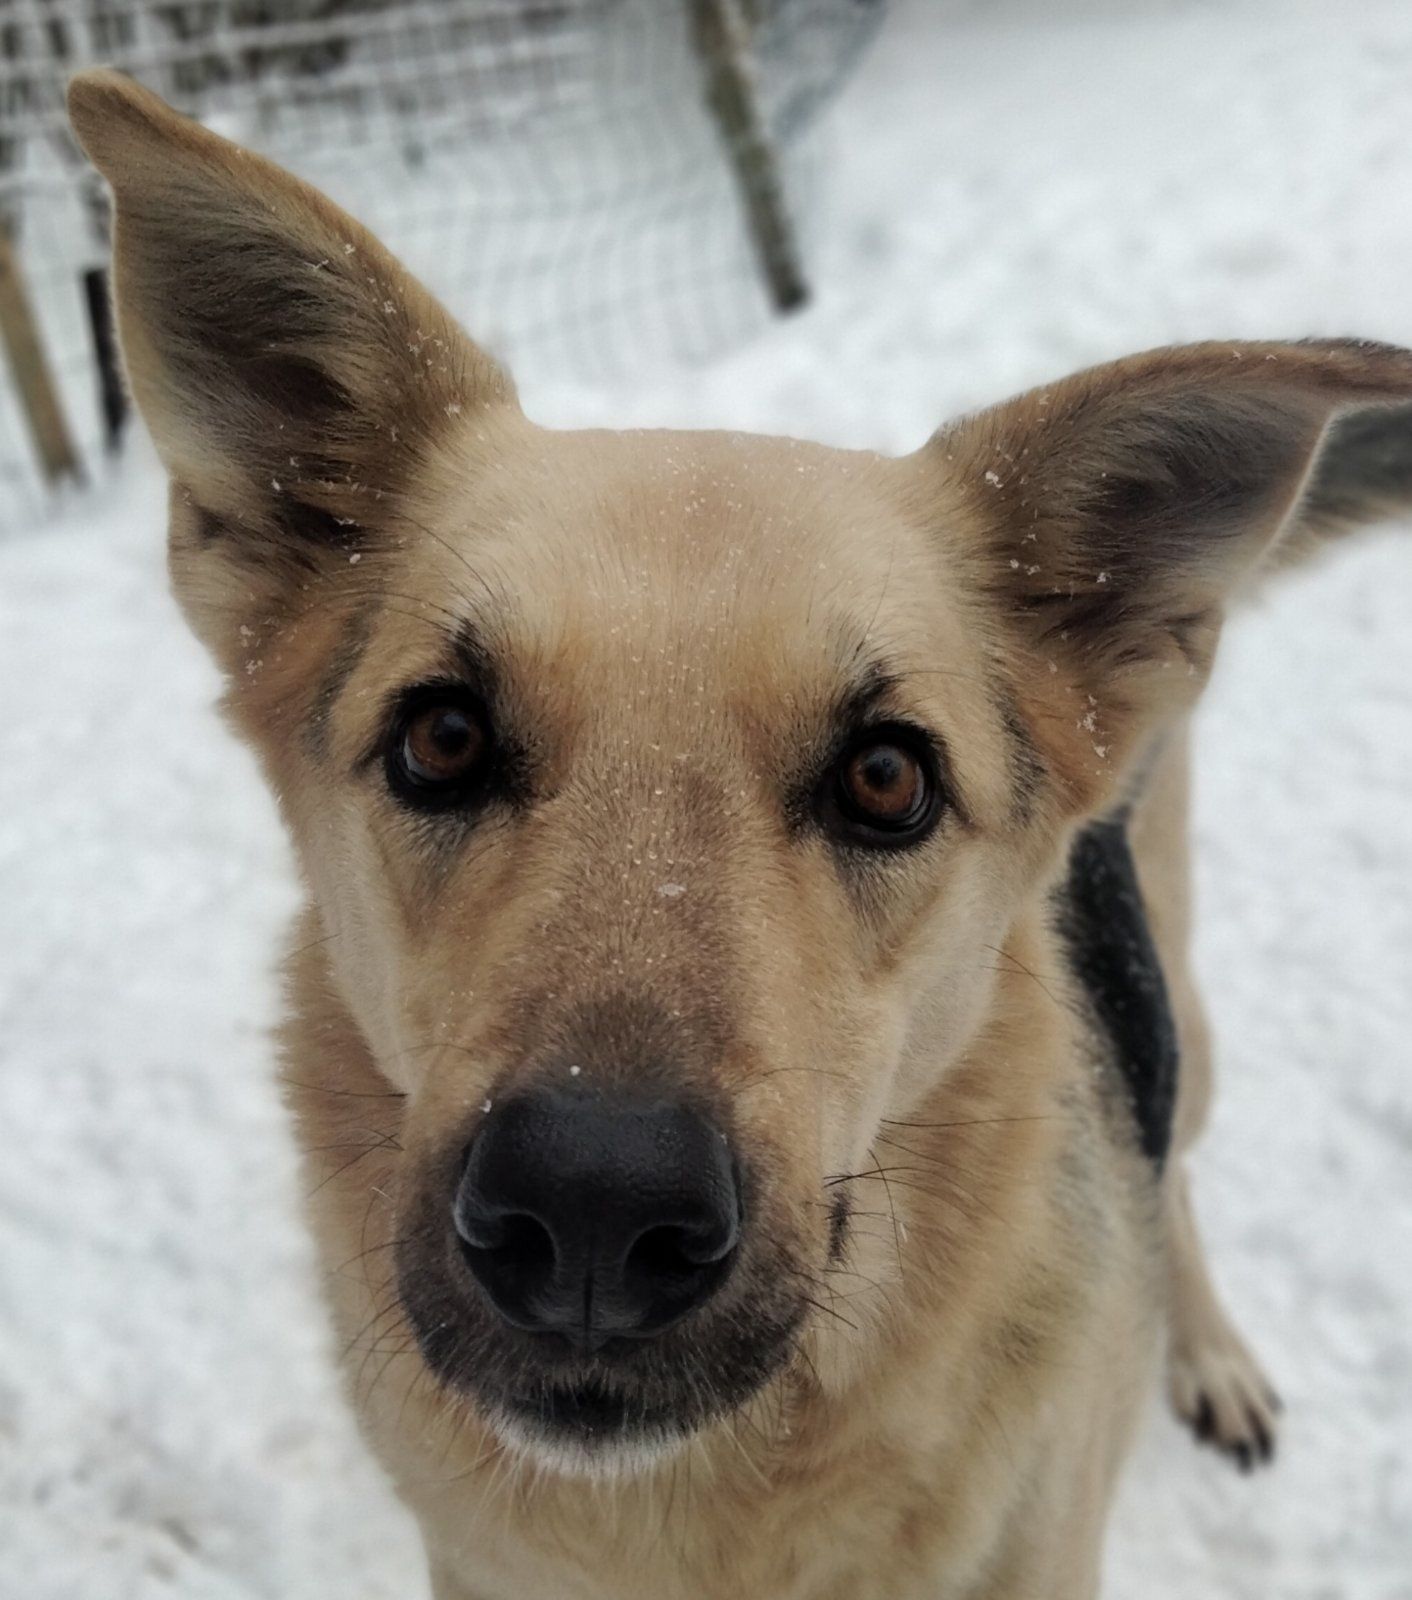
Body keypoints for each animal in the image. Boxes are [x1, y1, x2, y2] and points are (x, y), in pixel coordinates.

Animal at [68, 65, 1408, 1600]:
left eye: (886, 777)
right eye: (441, 738)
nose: (592, 1212)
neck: (691, 1530)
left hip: (1175, 986)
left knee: (1169, 1163)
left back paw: (1211, 1353)